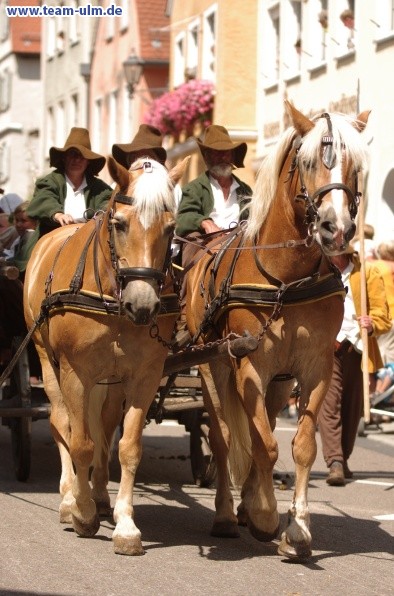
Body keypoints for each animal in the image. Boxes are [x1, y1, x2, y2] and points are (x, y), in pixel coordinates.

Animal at [24, 155, 189, 556]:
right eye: (119, 224)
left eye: (170, 228)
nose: (143, 305)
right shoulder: (74, 373)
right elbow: (79, 442)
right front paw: (81, 511)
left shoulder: (144, 376)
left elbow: (127, 447)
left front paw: (126, 525)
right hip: (47, 361)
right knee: (62, 422)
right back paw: (70, 497)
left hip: (111, 382)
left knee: (104, 426)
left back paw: (98, 494)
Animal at [185, 102, 370, 560]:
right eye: (308, 162)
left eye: (356, 165)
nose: (337, 228)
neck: (287, 278)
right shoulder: (250, 366)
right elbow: (262, 444)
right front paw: (266, 514)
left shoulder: (315, 368)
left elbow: (300, 445)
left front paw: (297, 528)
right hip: (212, 368)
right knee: (224, 437)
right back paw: (226, 515)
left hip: (280, 383)